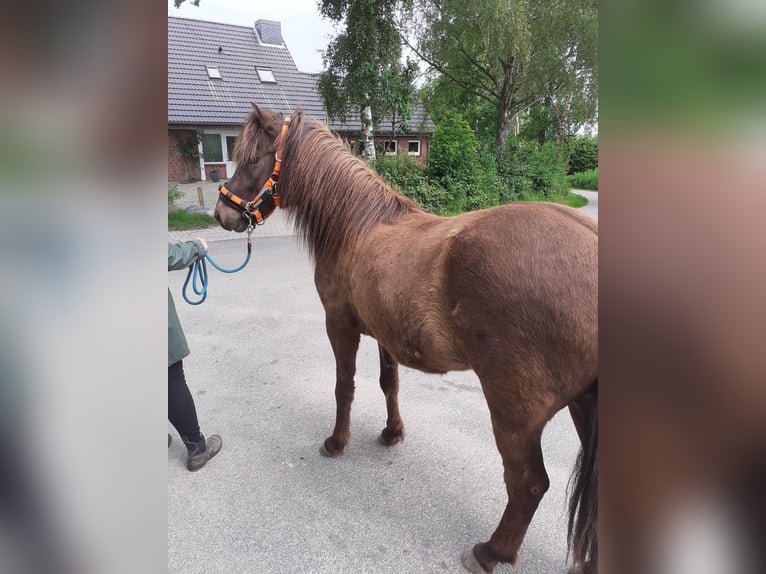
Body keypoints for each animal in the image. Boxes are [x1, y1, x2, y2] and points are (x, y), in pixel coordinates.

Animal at [214, 104, 600, 574]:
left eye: (253, 159)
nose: (221, 213)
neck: (358, 226)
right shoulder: (386, 333)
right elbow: (388, 384)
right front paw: (392, 433)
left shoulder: (339, 326)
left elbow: (344, 387)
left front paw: (336, 443)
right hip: (584, 406)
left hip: (516, 412)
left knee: (528, 484)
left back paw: (491, 552)